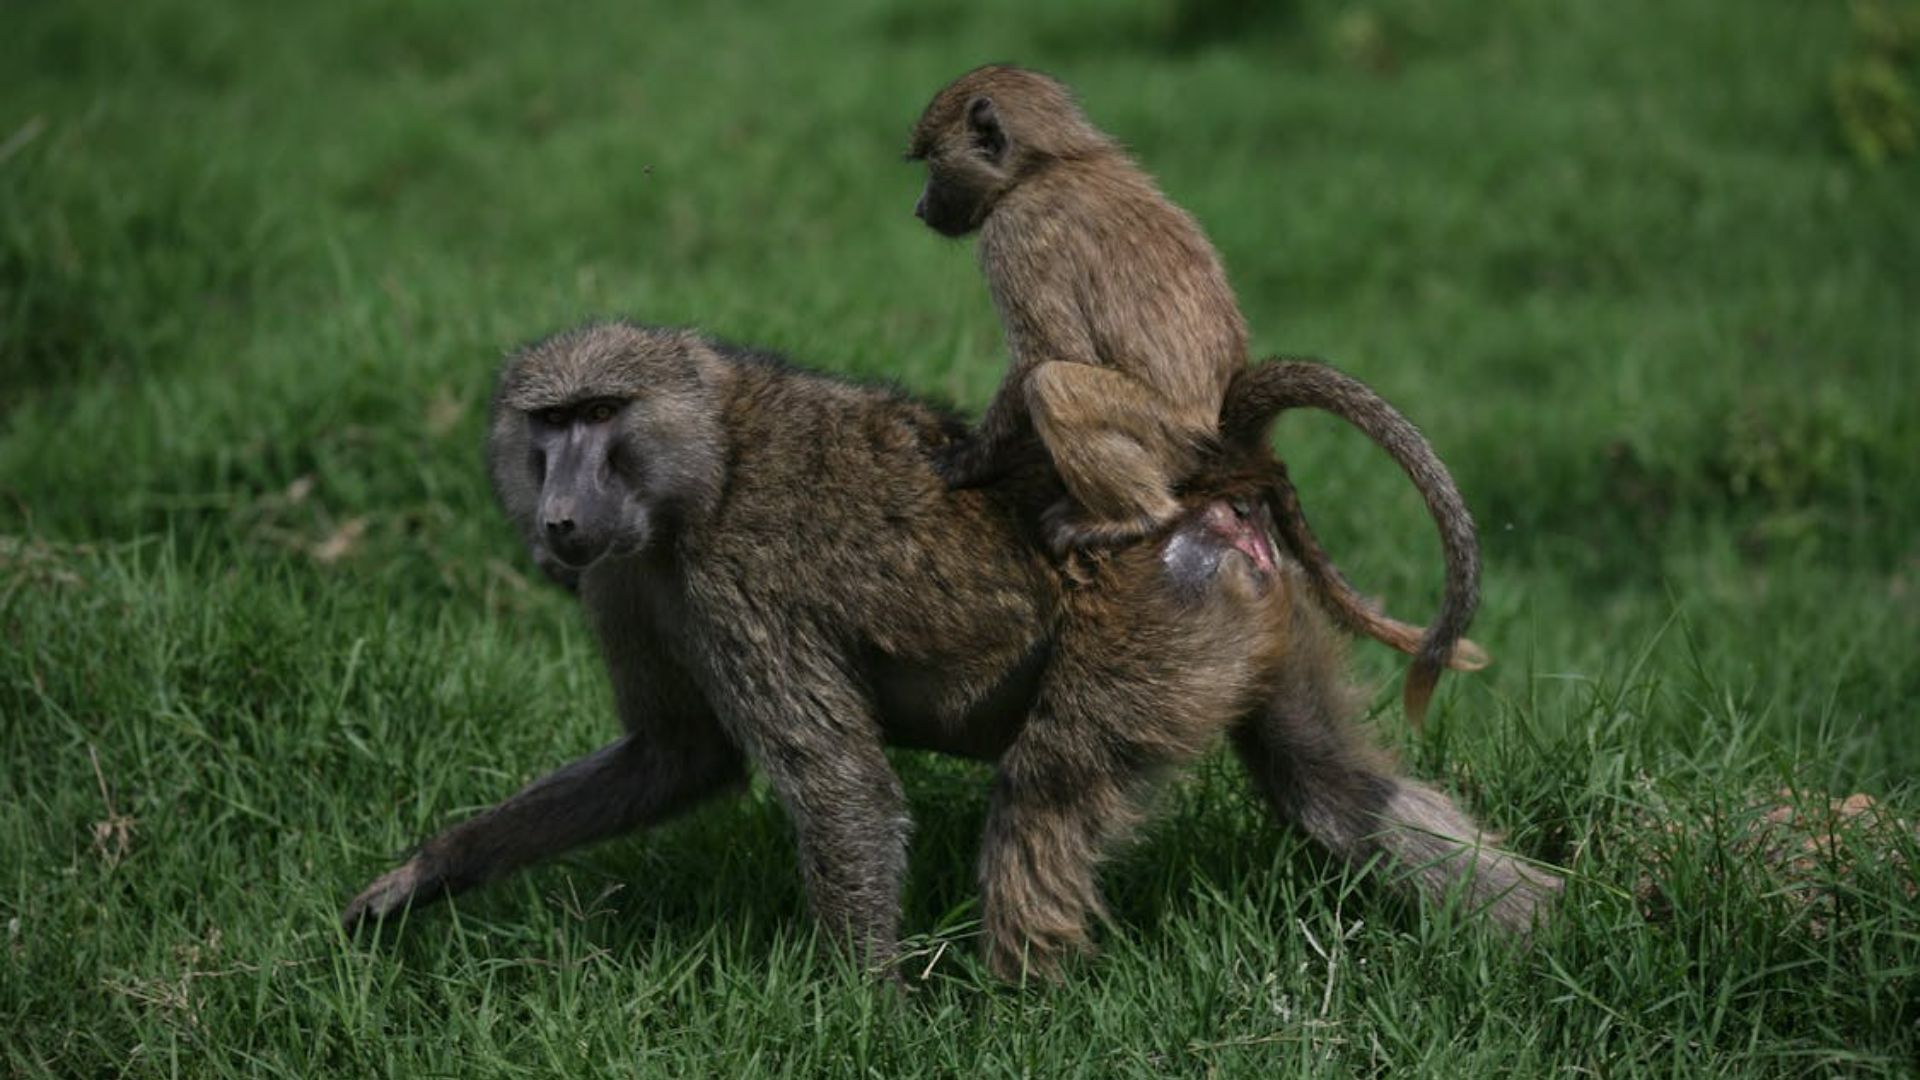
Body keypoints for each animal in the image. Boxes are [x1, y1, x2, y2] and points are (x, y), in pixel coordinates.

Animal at [340, 322, 1559, 982]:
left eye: (603, 413)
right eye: (546, 424)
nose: (559, 518)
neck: (702, 467)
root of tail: (1201, 481)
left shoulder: (737, 584)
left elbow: (839, 787)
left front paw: (860, 1019)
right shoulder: (626, 581)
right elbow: (676, 757)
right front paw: (429, 872)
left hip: (1151, 630)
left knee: (1041, 805)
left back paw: (1017, 1019)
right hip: (1245, 622)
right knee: (1331, 790)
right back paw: (1548, 932)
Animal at [908, 64, 1482, 726]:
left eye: (933, 163)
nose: (919, 207)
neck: (1050, 164)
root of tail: (1226, 437)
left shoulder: (1015, 236)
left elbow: (1043, 355)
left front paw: (964, 461)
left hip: (1165, 436)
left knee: (1055, 387)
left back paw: (1130, 518)